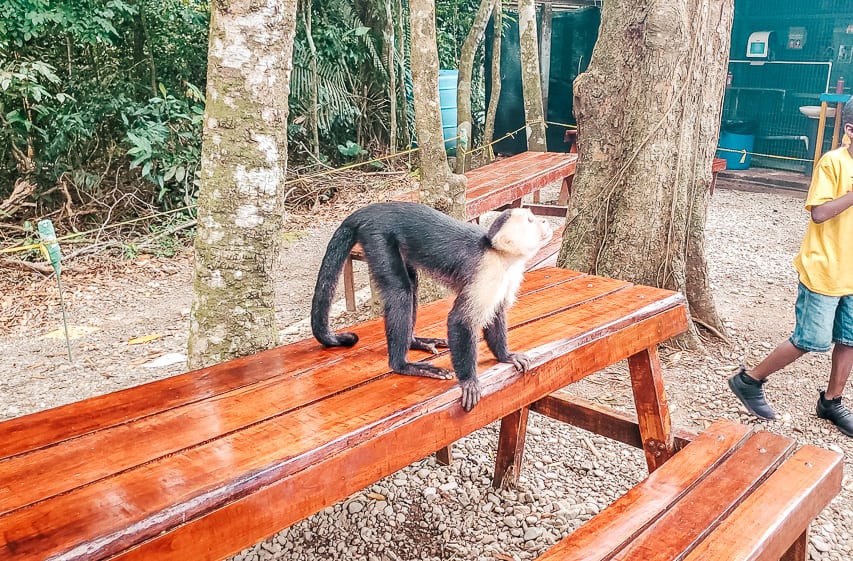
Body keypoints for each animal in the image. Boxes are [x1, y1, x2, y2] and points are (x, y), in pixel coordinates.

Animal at [311, 201, 553, 411]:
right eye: (530, 221)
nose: (544, 221)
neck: (500, 256)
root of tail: (370, 209)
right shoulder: (487, 272)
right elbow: (459, 320)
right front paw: (468, 380)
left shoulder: (508, 275)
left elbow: (496, 313)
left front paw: (506, 356)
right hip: (378, 237)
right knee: (401, 293)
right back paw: (402, 365)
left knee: (411, 285)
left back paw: (414, 342)